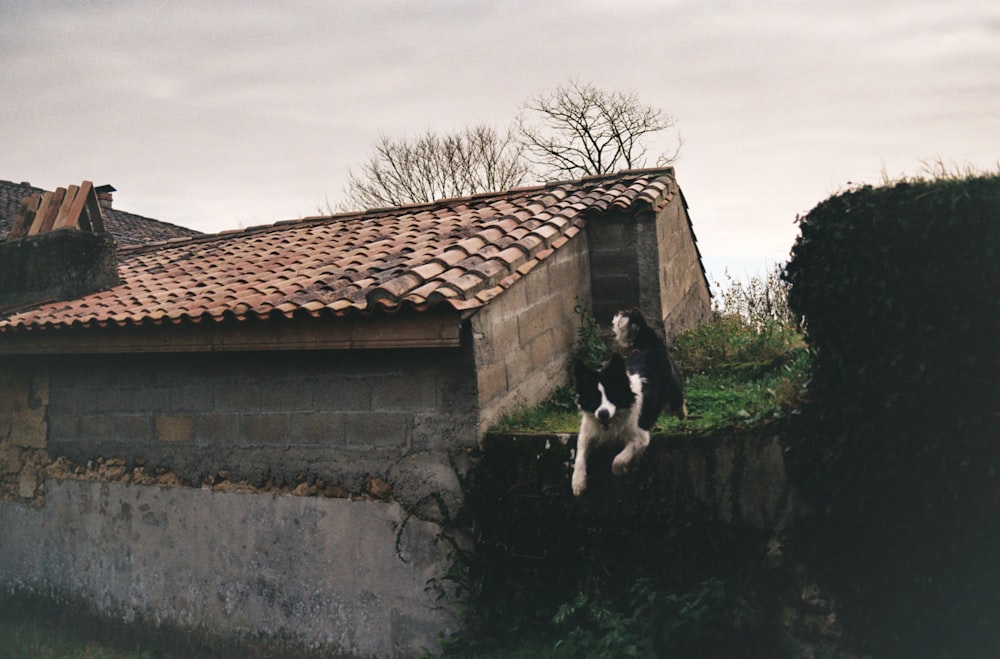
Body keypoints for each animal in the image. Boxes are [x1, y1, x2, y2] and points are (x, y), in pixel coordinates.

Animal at [572, 310, 688, 496]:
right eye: (594, 398)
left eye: (613, 396)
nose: (603, 414)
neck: (613, 421)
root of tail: (651, 345)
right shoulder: (588, 432)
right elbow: (580, 456)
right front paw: (577, 483)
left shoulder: (640, 435)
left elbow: (620, 458)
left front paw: (620, 469)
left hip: (672, 389)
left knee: (677, 402)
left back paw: (682, 413)